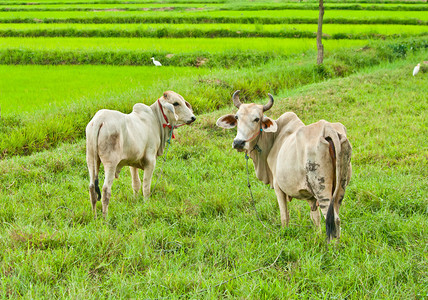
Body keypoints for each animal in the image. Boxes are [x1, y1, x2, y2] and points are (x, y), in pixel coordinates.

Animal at [217, 90, 352, 240]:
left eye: (257, 119)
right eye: (237, 117)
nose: (238, 143)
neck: (273, 138)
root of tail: (327, 129)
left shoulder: (278, 187)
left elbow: (284, 217)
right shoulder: (309, 194)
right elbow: (315, 217)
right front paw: (317, 235)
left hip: (321, 188)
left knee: (333, 219)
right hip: (340, 186)